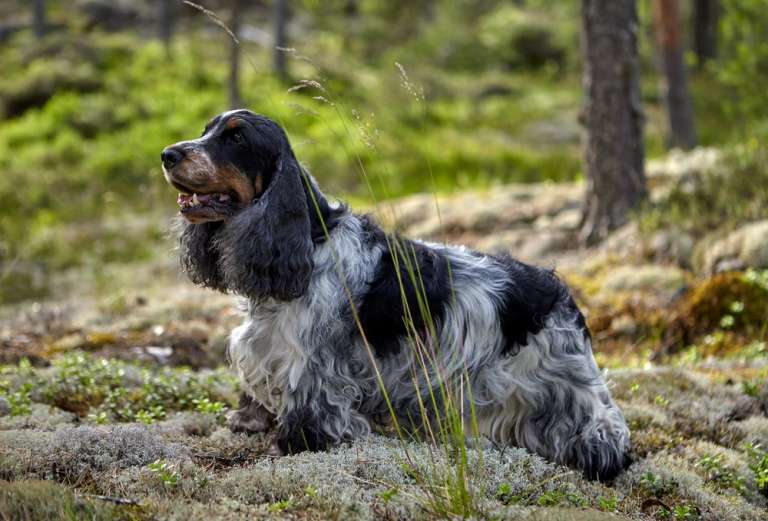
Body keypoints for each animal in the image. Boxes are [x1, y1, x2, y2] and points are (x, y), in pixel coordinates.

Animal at [160, 109, 632, 480]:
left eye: (236, 138)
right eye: (206, 130)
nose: (168, 154)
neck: (311, 241)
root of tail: (560, 291)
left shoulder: (313, 366)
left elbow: (311, 409)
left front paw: (293, 445)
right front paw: (248, 422)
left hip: (564, 380)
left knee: (606, 428)